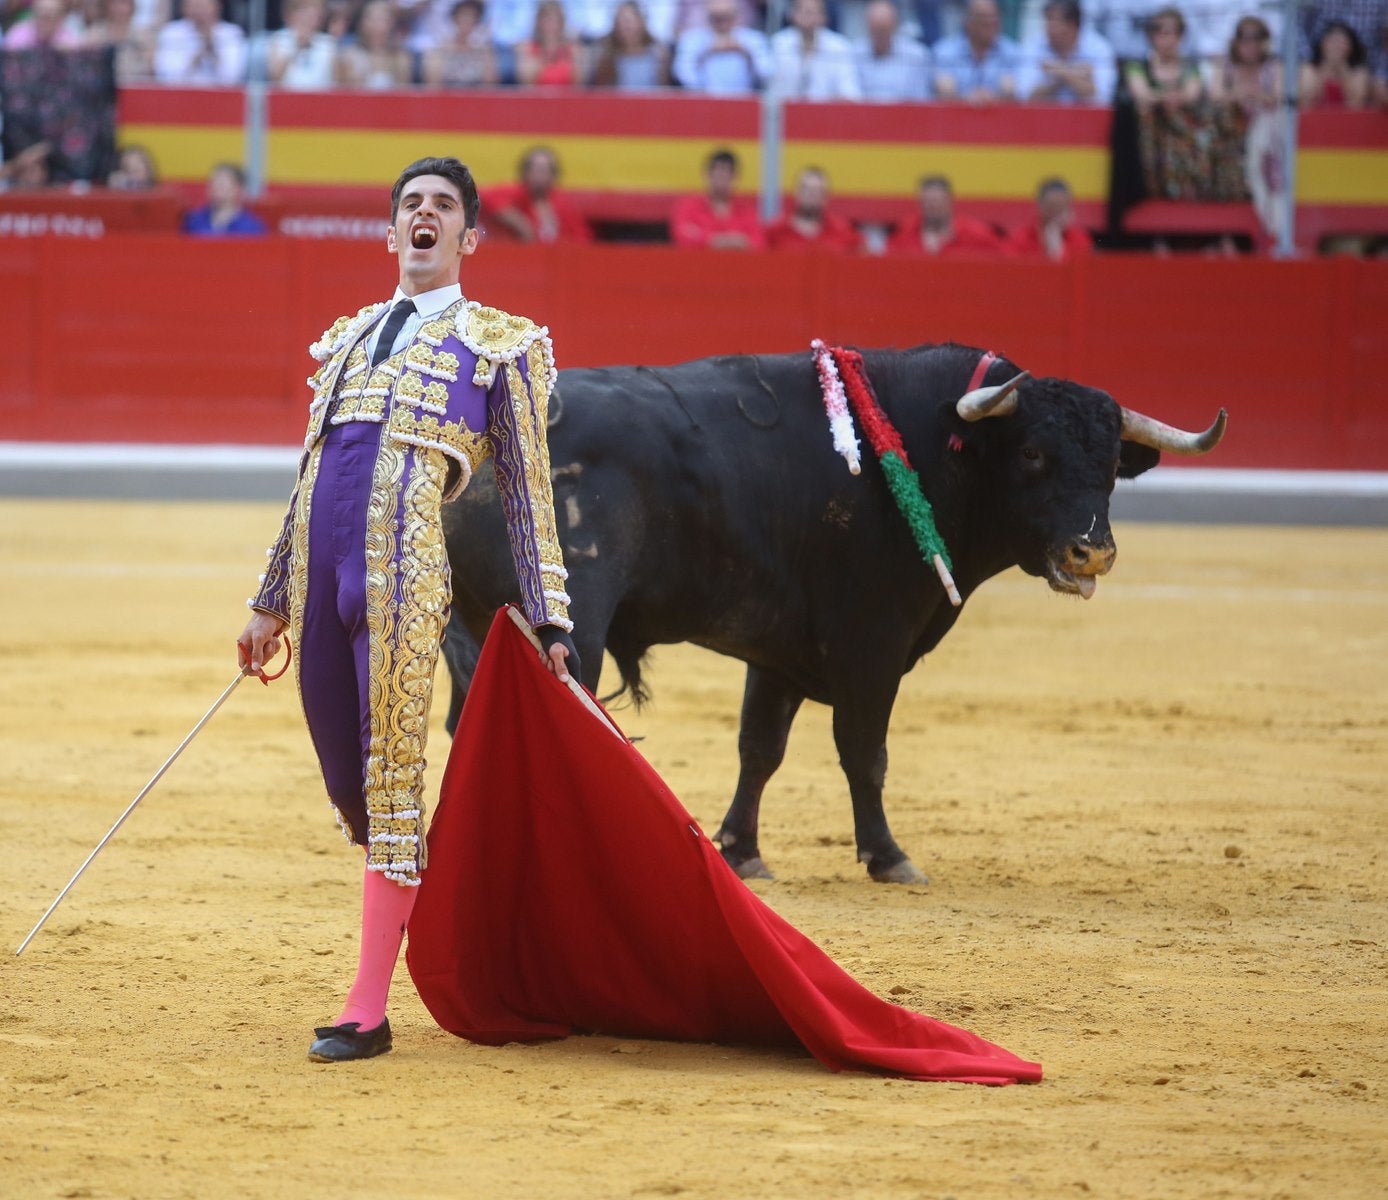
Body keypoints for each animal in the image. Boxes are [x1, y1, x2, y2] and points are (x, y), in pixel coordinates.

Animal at [435, 341, 1226, 882]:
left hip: (476, 621)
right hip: (569, 632)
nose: (1092, 552)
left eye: (1110, 466)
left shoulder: (778, 652)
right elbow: (864, 752)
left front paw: (741, 852)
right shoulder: (873, 646)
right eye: (1031, 453)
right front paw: (888, 856)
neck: (931, 447)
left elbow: (760, 747)